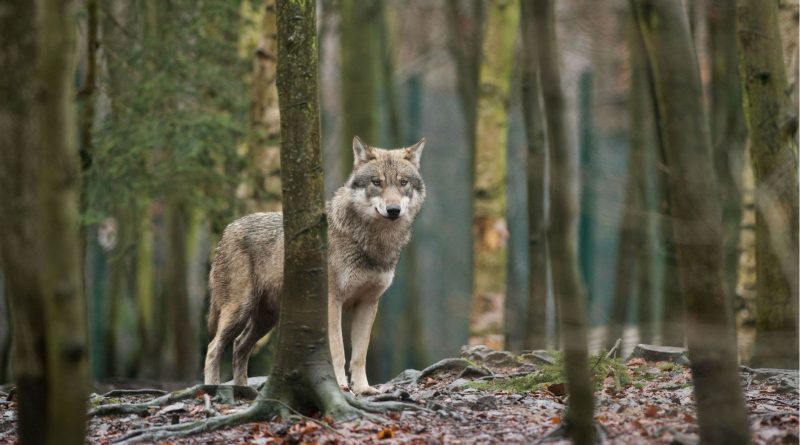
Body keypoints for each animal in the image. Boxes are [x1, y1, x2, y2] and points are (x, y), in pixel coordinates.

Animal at [205, 137, 424, 394]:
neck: (371, 242)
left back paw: (243, 390)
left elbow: (359, 355)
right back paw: (211, 388)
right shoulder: (332, 302)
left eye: (403, 182)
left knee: (239, 346)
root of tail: (227, 230)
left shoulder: (368, 303)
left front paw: (363, 389)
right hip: (239, 310)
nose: (393, 210)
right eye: (377, 182)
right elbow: (338, 351)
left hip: (266, 319)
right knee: (213, 348)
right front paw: (340, 386)